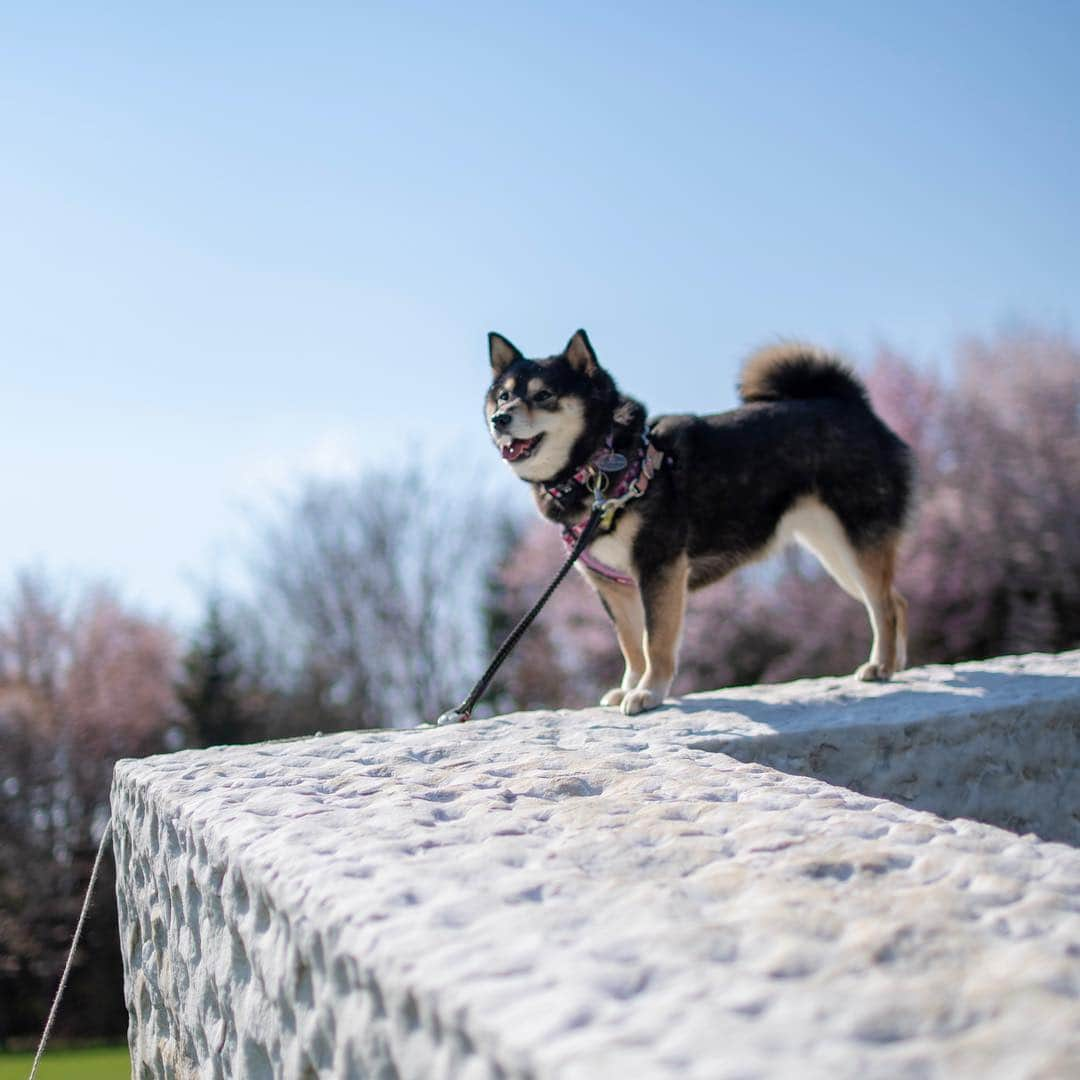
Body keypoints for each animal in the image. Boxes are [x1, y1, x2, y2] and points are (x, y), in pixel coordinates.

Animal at [486, 328, 915, 717]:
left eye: (544, 395)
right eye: (503, 395)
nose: (500, 418)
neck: (597, 466)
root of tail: (853, 406)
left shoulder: (660, 567)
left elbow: (655, 642)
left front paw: (649, 693)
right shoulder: (611, 584)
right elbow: (631, 644)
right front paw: (630, 685)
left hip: (857, 542)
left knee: (883, 606)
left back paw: (880, 665)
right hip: (836, 555)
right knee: (895, 599)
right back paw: (894, 663)